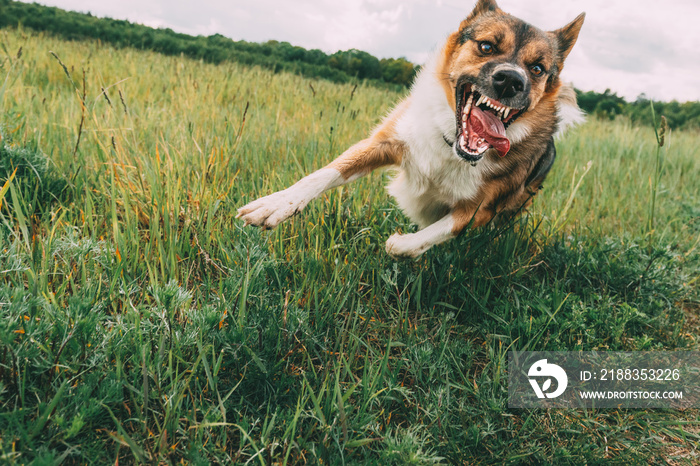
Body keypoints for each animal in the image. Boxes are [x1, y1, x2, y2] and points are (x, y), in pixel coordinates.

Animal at [235, 0, 584, 256]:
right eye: (486, 47)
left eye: (537, 68)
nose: (511, 80)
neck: (452, 146)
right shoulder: (385, 142)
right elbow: (325, 173)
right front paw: (275, 205)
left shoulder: (480, 210)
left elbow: (421, 239)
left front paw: (400, 241)